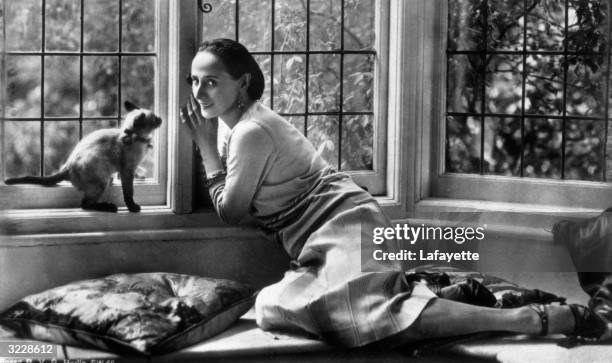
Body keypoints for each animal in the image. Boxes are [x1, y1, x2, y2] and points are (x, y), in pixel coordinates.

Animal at [4, 101, 163, 213]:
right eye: (155, 118)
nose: (161, 118)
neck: (138, 139)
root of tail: (67, 167)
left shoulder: (131, 169)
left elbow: (137, 176)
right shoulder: (127, 170)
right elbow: (128, 193)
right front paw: (133, 208)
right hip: (101, 181)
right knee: (84, 205)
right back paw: (109, 207)